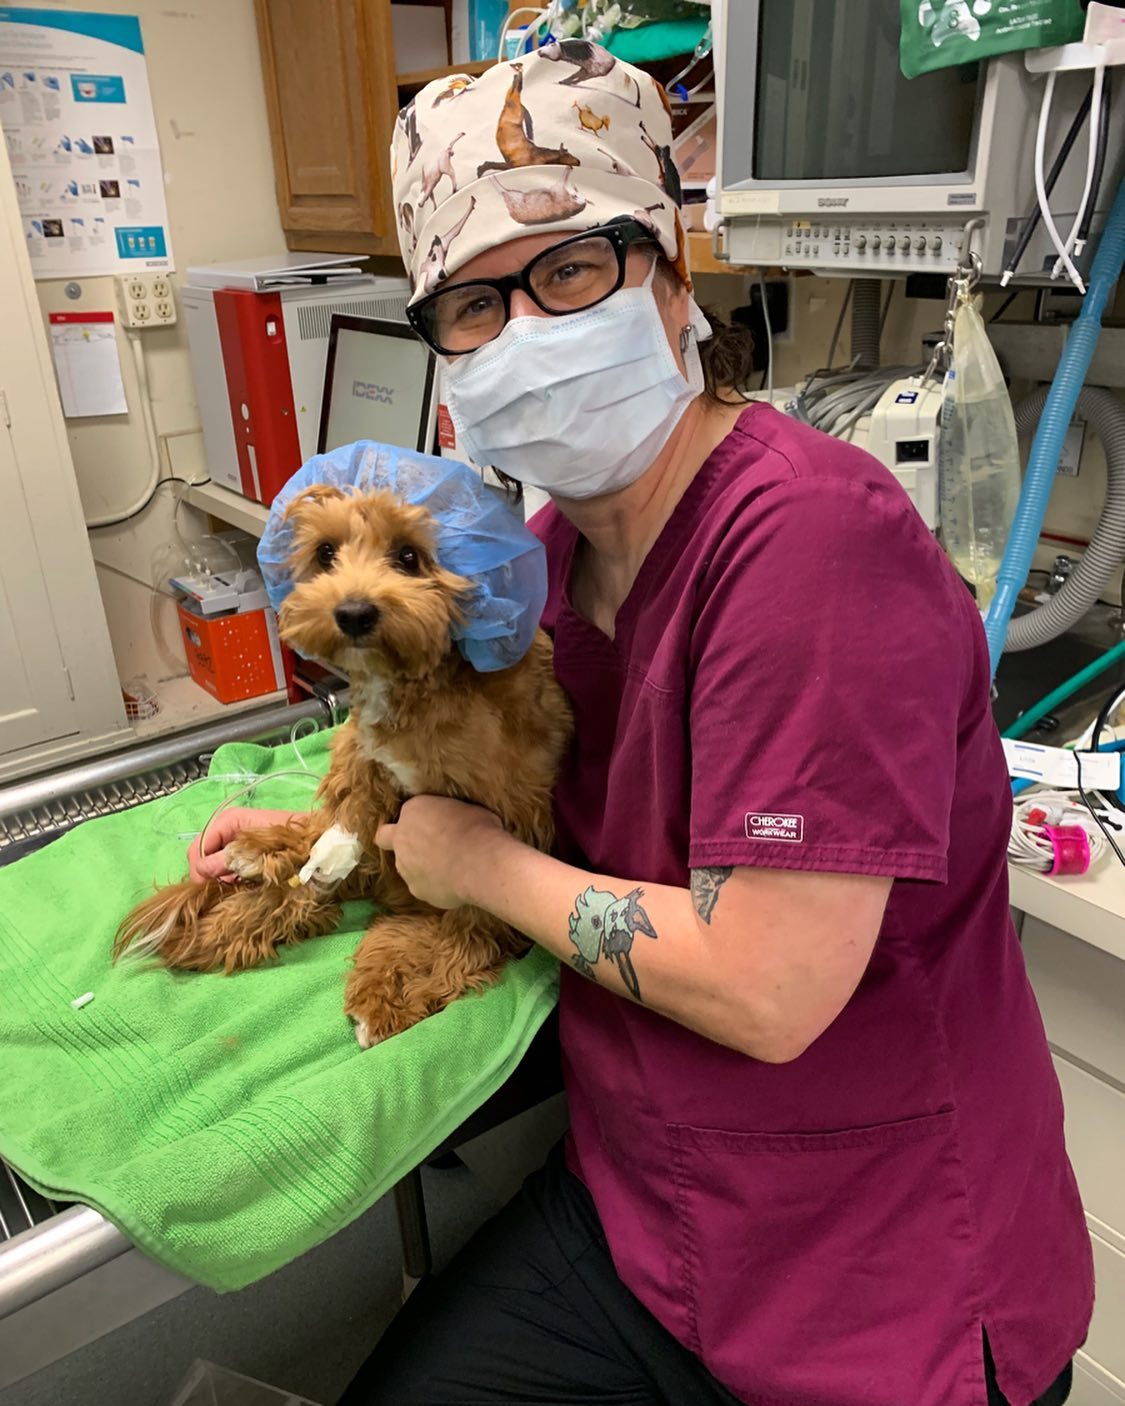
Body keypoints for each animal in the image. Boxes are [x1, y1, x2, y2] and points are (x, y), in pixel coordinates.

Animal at [115, 484, 572, 1047]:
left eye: (409, 556)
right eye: (326, 553)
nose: (353, 612)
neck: (415, 682)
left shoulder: (515, 810)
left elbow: (472, 912)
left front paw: (415, 975)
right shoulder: (364, 759)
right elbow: (349, 813)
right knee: (314, 845)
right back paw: (260, 860)